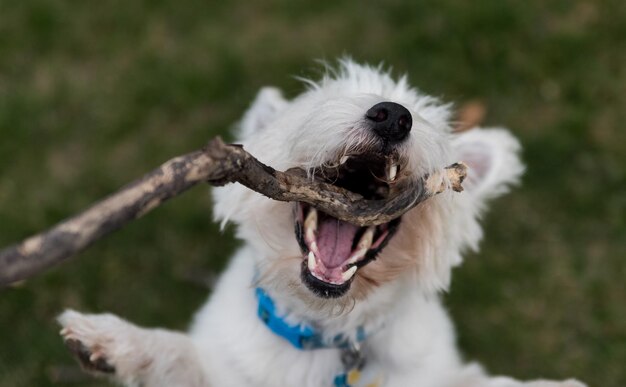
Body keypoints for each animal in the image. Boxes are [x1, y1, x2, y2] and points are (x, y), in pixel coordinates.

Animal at [56, 60, 584, 387]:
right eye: (319, 101)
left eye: (426, 119)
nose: (393, 115)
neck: (326, 332)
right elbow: (178, 353)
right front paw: (107, 337)